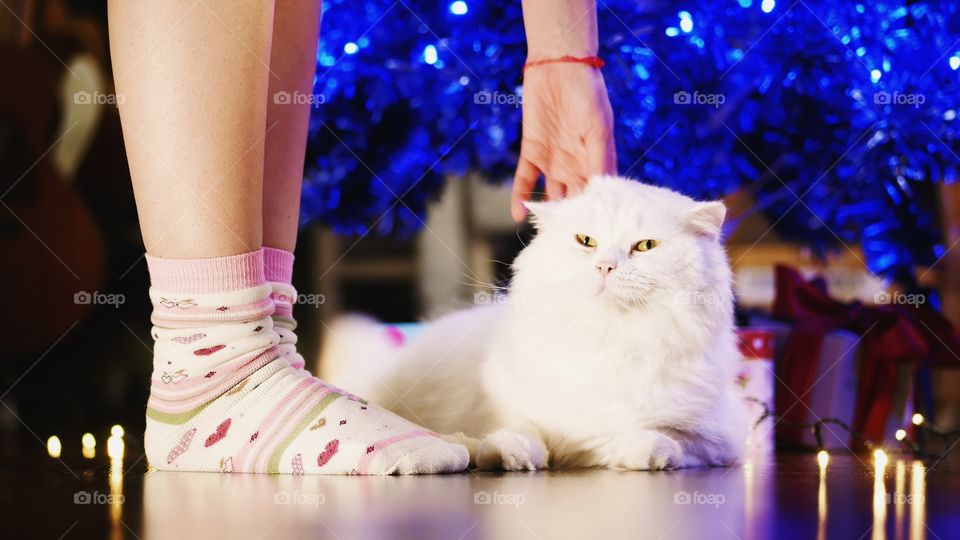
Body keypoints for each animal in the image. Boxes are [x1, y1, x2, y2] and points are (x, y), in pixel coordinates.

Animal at [322, 176, 752, 468]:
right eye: (586, 241)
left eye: (645, 246)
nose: (605, 266)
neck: (607, 340)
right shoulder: (508, 405)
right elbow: (518, 431)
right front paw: (508, 456)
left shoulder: (716, 437)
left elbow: (660, 438)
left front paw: (634, 451)